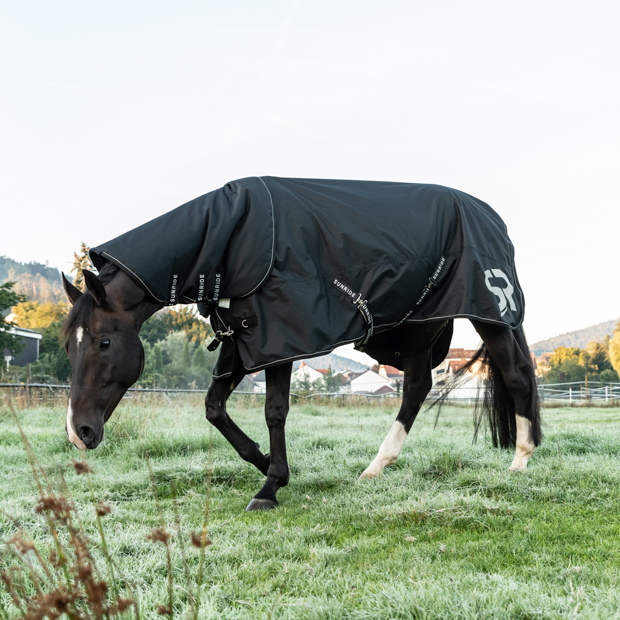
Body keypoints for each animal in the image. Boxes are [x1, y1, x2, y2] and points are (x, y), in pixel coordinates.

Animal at [60, 177, 540, 512]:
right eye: (68, 347)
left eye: (104, 341)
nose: (79, 432)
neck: (231, 237)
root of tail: (491, 216)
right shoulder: (242, 340)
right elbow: (214, 407)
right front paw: (263, 463)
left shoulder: (281, 338)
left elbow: (275, 411)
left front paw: (270, 486)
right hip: (421, 326)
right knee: (418, 387)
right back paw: (376, 467)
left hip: (488, 314)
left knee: (516, 375)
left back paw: (520, 461)